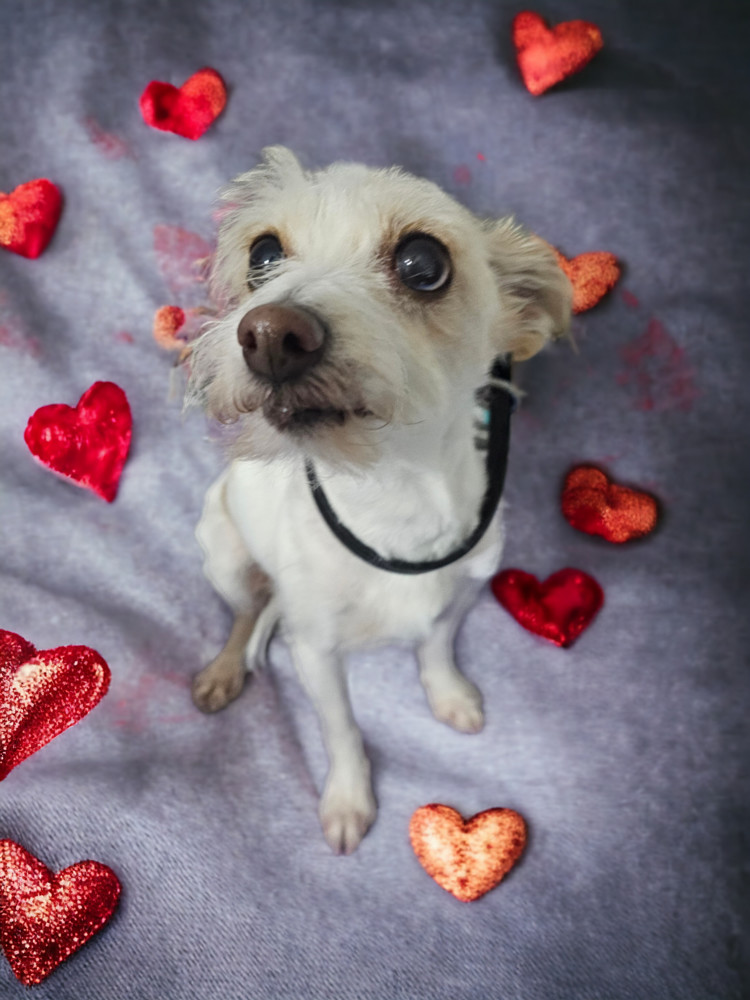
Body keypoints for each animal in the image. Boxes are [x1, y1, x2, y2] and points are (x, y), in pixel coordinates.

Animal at [188, 146, 568, 852]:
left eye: (424, 264)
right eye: (262, 254)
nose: (269, 333)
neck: (394, 499)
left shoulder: (464, 591)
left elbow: (436, 647)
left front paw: (448, 695)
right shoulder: (315, 655)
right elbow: (341, 729)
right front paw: (348, 798)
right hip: (224, 555)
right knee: (245, 615)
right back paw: (225, 670)